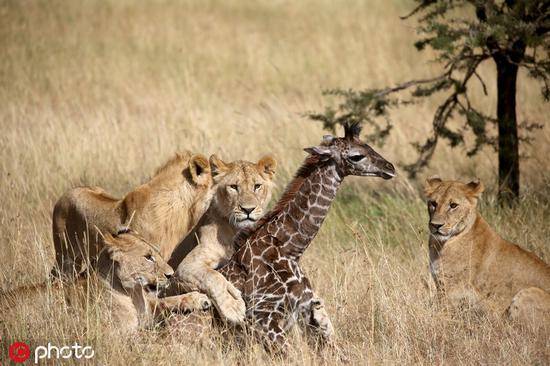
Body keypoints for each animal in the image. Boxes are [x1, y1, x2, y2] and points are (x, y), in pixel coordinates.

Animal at [1, 230, 211, 334]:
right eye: (148, 257)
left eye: (157, 254)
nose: (170, 274)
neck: (132, 293)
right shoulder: (114, 333)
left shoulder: (147, 309)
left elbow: (165, 301)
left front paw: (199, 299)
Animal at [168, 154, 278, 324]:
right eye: (233, 187)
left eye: (257, 186)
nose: (248, 210)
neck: (235, 231)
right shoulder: (185, 267)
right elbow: (213, 277)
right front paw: (233, 307)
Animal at [217, 123, 396, 352]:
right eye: (357, 156)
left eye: (369, 145)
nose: (390, 168)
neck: (290, 249)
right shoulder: (264, 318)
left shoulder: (310, 309)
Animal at [426, 177, 550, 328]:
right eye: (433, 203)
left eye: (453, 205)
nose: (436, 225)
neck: (441, 244)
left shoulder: (452, 290)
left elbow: (439, 315)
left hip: (528, 292)